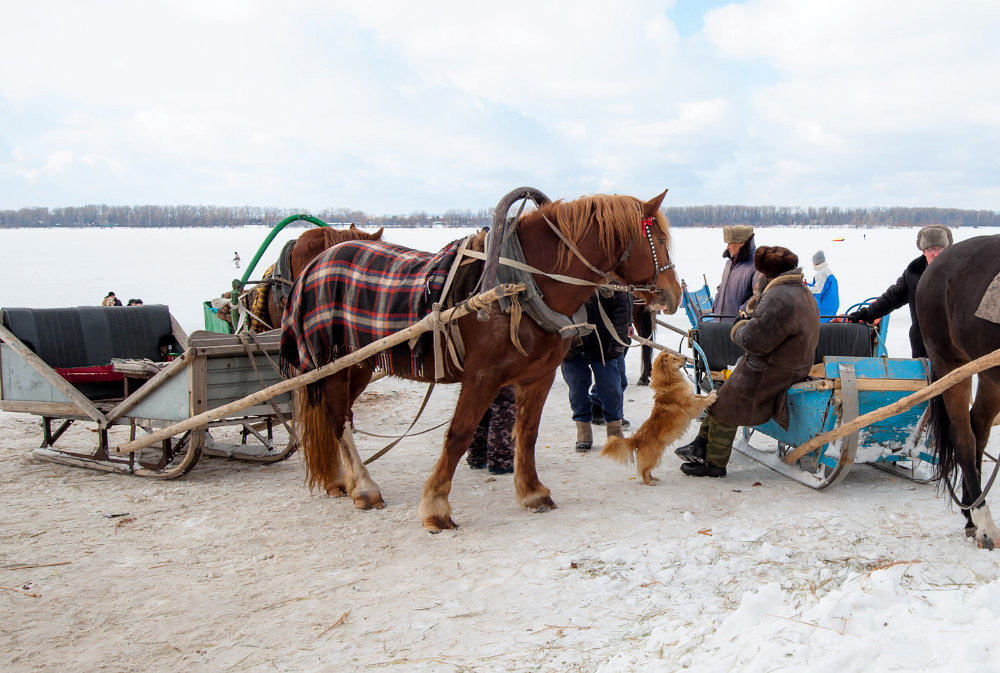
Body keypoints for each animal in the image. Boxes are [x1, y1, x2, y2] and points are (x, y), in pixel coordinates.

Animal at [286, 188, 684, 532]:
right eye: (659, 240)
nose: (674, 294)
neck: (527, 282)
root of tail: (316, 264)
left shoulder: (538, 376)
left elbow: (527, 433)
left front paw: (532, 492)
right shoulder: (481, 377)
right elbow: (458, 435)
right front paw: (436, 507)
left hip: (358, 365)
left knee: (340, 417)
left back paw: (344, 481)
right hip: (338, 362)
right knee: (338, 420)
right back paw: (364, 487)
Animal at [600, 352, 720, 484]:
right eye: (674, 359)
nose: (685, 357)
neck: (668, 383)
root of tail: (636, 438)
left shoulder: (692, 396)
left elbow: (700, 396)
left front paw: (710, 394)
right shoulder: (690, 404)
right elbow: (700, 401)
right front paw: (711, 397)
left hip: (656, 457)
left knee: (647, 470)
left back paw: (653, 478)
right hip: (654, 456)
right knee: (643, 471)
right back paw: (649, 482)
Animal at [916, 234, 1000, 548]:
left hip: (986, 370)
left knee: (979, 431)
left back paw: (971, 514)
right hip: (951, 364)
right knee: (963, 436)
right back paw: (983, 520)